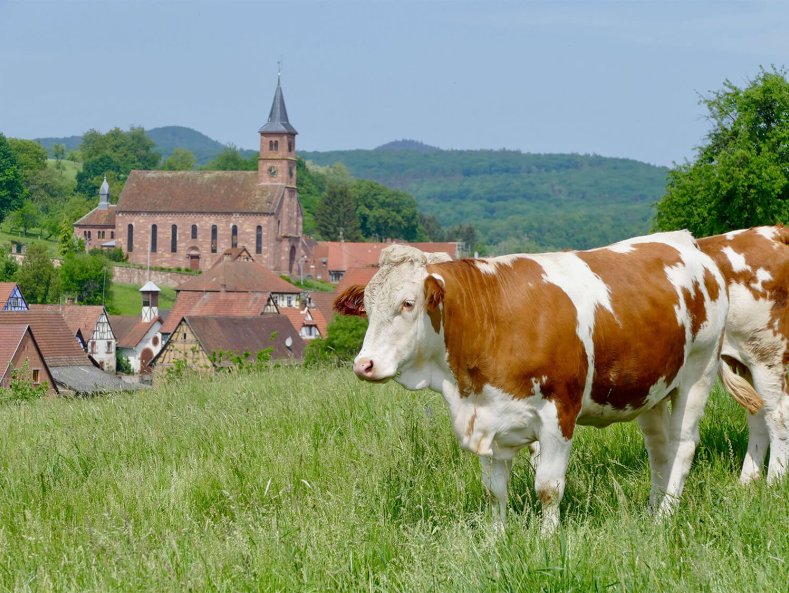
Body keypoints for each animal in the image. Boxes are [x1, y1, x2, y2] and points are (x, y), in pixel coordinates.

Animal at [334, 231, 729, 533]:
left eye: (407, 302)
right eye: (367, 307)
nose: (364, 364)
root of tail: (683, 240)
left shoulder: (559, 413)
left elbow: (548, 488)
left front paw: (547, 539)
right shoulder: (489, 418)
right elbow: (494, 490)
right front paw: (495, 537)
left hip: (698, 372)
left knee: (682, 446)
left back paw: (665, 516)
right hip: (652, 390)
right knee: (659, 450)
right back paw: (651, 511)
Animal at [697, 226, 789, 484]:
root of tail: (771, 232)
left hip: (767, 356)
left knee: (778, 417)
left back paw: (774, 481)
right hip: (749, 360)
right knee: (759, 416)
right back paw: (747, 481)